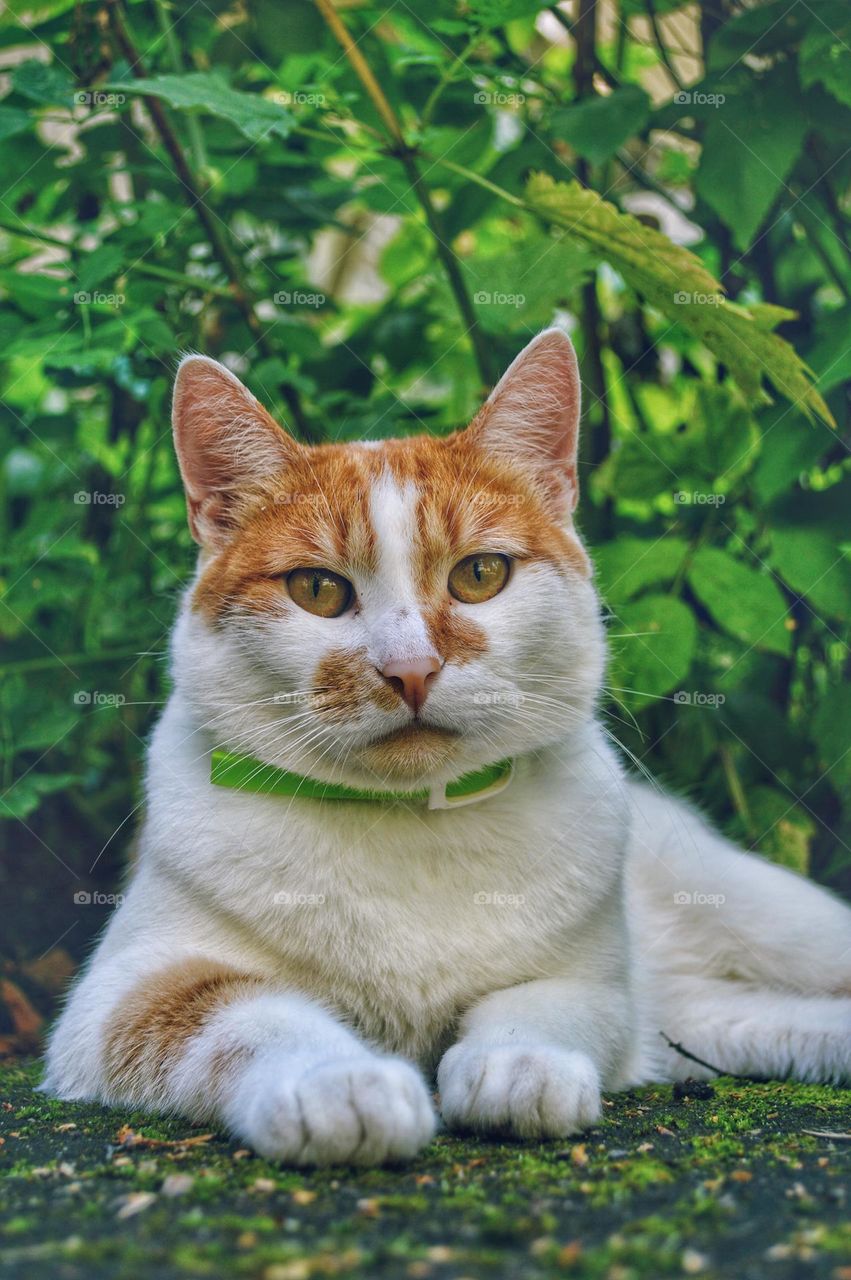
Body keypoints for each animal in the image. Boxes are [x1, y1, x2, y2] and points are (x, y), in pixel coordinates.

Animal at [44, 327, 849, 1162]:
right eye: (316, 590)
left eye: (480, 574)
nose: (410, 670)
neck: (409, 827)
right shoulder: (120, 996)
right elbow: (248, 1015)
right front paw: (337, 1084)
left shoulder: (595, 986)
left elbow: (541, 1006)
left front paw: (520, 1066)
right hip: (716, 1020)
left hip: (774, 926)